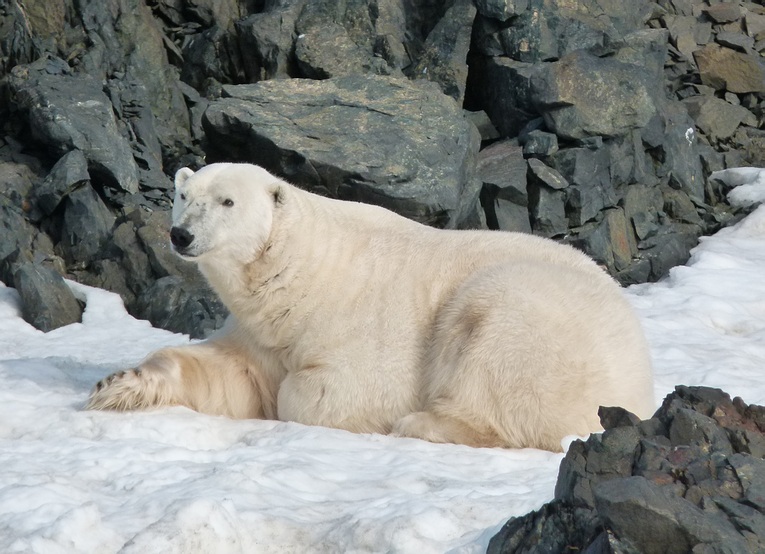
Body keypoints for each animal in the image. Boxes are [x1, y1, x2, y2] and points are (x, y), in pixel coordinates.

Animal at [88, 162, 652, 450]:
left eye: (227, 201)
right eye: (185, 197)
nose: (181, 235)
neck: (305, 273)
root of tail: (642, 381)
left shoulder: (361, 322)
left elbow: (324, 389)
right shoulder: (260, 330)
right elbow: (233, 373)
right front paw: (116, 386)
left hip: (533, 318)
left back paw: (421, 424)